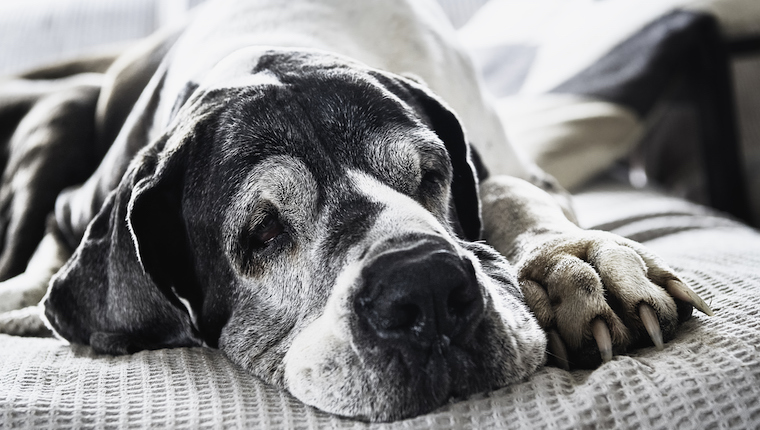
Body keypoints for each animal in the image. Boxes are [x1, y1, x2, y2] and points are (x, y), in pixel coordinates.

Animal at [0, 0, 712, 424]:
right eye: (262, 231)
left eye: (430, 175)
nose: (426, 290)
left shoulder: (516, 166)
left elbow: (511, 192)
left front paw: (577, 262)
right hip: (56, 121)